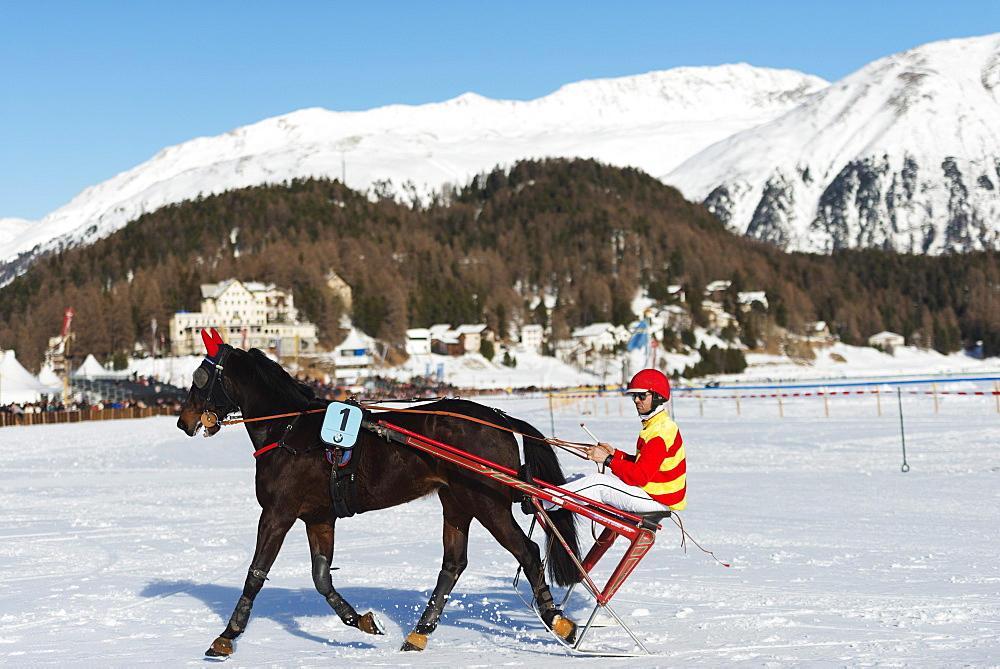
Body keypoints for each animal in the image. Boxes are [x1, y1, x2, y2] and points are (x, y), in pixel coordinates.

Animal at [173, 332, 580, 656]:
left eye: (199, 377)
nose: (182, 421)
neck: (289, 429)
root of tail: (500, 419)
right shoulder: (319, 518)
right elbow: (322, 578)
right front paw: (362, 620)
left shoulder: (278, 513)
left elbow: (256, 574)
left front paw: (227, 636)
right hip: (457, 502)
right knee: (452, 565)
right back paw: (418, 633)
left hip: (486, 502)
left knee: (527, 552)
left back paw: (557, 620)